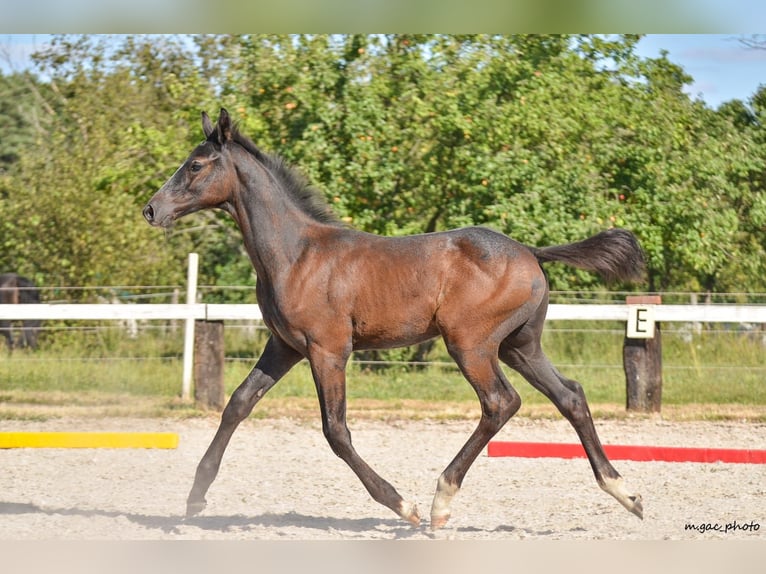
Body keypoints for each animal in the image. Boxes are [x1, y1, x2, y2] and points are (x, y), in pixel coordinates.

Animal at [143, 108, 645, 529]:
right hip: (520, 346)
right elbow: (238, 404)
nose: (151, 209)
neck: (296, 255)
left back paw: (441, 500)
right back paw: (625, 493)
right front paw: (195, 498)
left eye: (196, 165)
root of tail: (531, 252)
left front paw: (404, 505)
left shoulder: (328, 350)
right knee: (570, 396)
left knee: (501, 402)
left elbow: (336, 431)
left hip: (471, 344)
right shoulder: (284, 346)